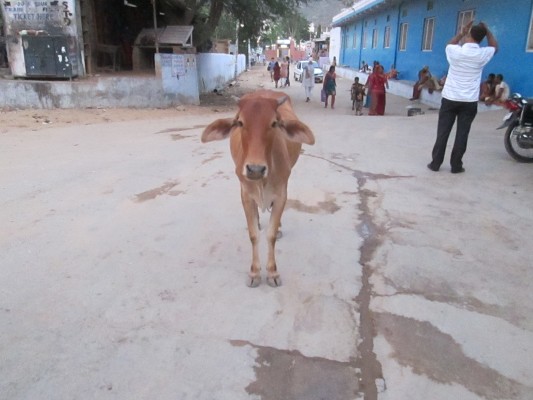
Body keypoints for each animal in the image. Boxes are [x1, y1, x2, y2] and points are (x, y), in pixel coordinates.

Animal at [202, 90, 314, 288]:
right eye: (240, 122)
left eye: (274, 123)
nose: (255, 169)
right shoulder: (245, 195)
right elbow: (254, 235)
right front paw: (254, 273)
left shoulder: (281, 195)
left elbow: (271, 235)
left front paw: (272, 272)